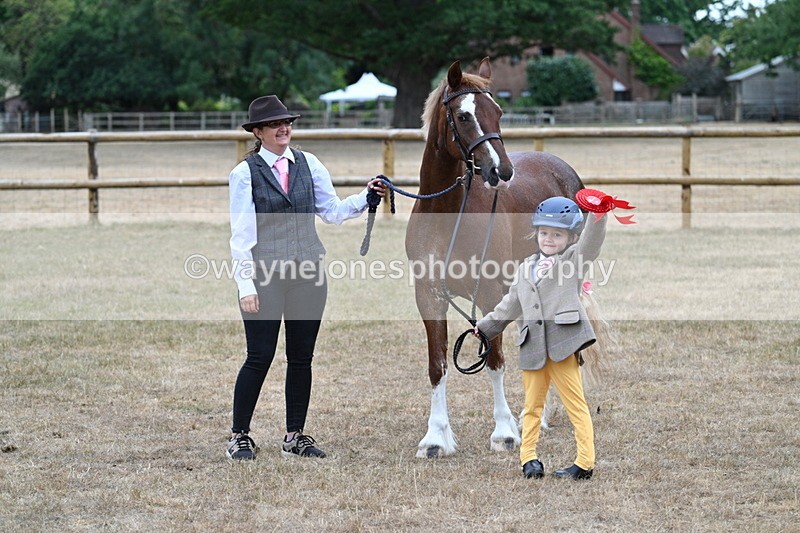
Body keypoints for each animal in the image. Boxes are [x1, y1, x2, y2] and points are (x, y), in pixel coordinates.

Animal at [404, 57, 586, 458]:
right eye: (463, 116)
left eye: (498, 112)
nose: (501, 170)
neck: (448, 215)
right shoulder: (429, 297)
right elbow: (437, 365)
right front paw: (435, 438)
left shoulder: (490, 293)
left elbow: (495, 360)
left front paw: (504, 432)